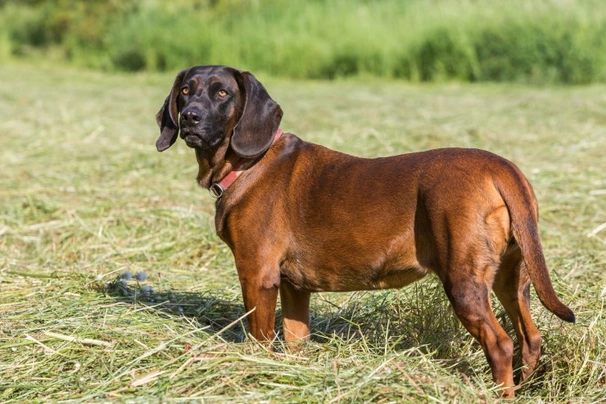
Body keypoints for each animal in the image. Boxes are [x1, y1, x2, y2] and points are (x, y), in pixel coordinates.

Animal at [156, 64, 576, 396]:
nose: (190, 117)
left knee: (501, 345)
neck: (248, 163)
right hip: (512, 279)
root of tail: (501, 168)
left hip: (464, 282)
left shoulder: (257, 276)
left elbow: (259, 340)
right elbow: (295, 341)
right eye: (185, 91)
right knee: (530, 338)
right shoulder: (294, 288)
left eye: (222, 93)